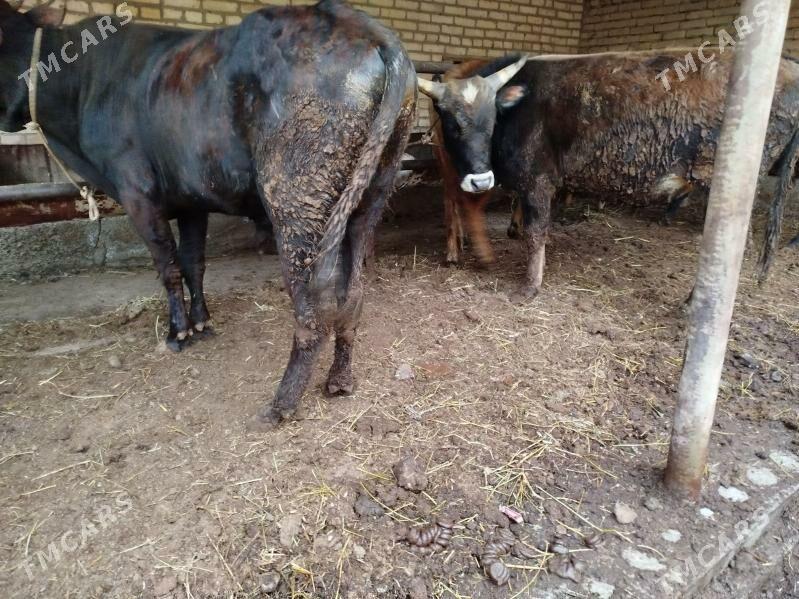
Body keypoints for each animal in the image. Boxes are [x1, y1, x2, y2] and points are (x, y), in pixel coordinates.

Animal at [0, 0, 417, 425]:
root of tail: (359, 22)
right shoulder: (191, 200)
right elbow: (192, 262)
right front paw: (201, 323)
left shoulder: (137, 192)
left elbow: (167, 266)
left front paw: (177, 333)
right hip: (371, 195)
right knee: (353, 295)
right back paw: (340, 380)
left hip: (295, 198)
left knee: (315, 308)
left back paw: (282, 403)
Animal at [418, 51, 799, 299]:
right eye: (451, 122)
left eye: (492, 118)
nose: (481, 179)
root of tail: (787, 65)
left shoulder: (537, 180)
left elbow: (535, 232)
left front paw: (530, 285)